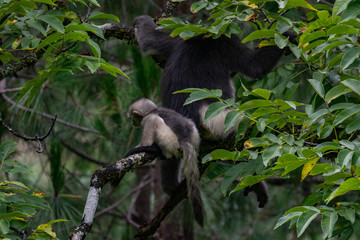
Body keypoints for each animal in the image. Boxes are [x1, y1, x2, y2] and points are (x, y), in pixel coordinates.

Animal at [128, 97, 204, 225]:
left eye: (132, 118)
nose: (132, 123)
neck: (153, 110)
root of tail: (184, 140)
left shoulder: (147, 120)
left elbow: (146, 139)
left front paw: (139, 148)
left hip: (170, 141)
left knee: (155, 121)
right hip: (194, 136)